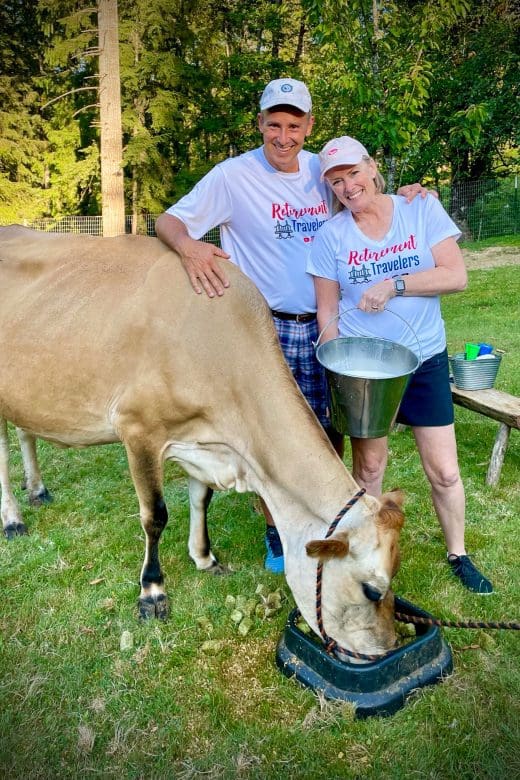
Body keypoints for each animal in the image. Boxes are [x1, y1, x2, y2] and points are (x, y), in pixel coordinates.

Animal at [0, 224, 406, 660]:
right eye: (372, 590)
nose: (386, 650)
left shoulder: (203, 440)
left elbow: (201, 498)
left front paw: (205, 557)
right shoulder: (138, 428)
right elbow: (155, 516)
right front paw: (152, 591)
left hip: (25, 391)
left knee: (25, 430)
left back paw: (37, 489)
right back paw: (13, 520)